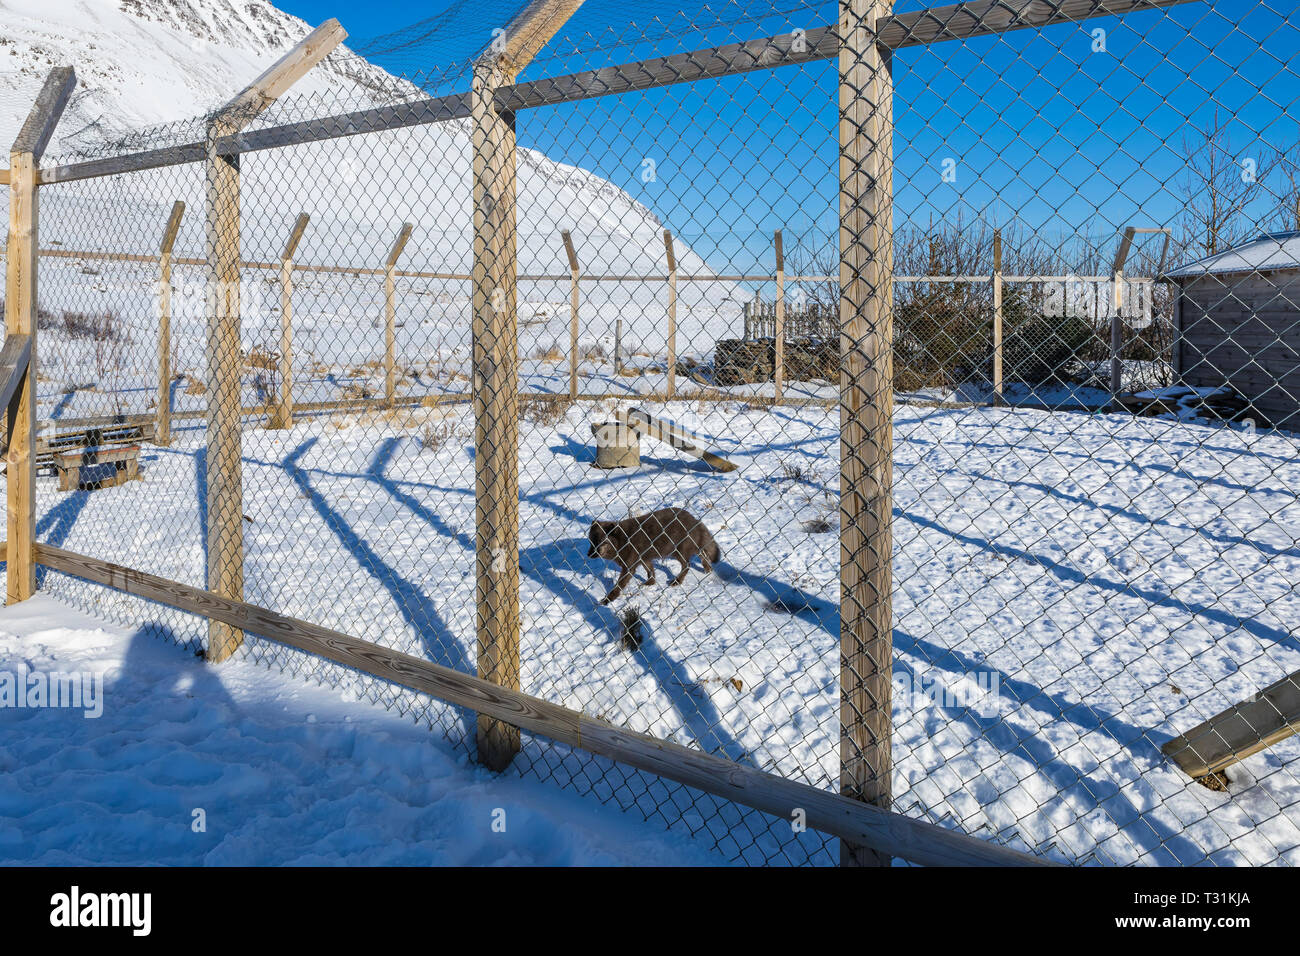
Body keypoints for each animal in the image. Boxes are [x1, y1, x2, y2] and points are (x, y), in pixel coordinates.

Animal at [587, 507, 721, 604]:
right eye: (591, 541)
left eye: (602, 542)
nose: (589, 555)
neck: (622, 540)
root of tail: (695, 520)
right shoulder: (644, 559)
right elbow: (650, 571)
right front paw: (650, 583)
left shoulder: (629, 568)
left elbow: (618, 586)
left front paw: (607, 600)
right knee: (703, 555)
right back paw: (708, 570)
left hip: (677, 551)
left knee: (687, 564)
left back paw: (677, 581)